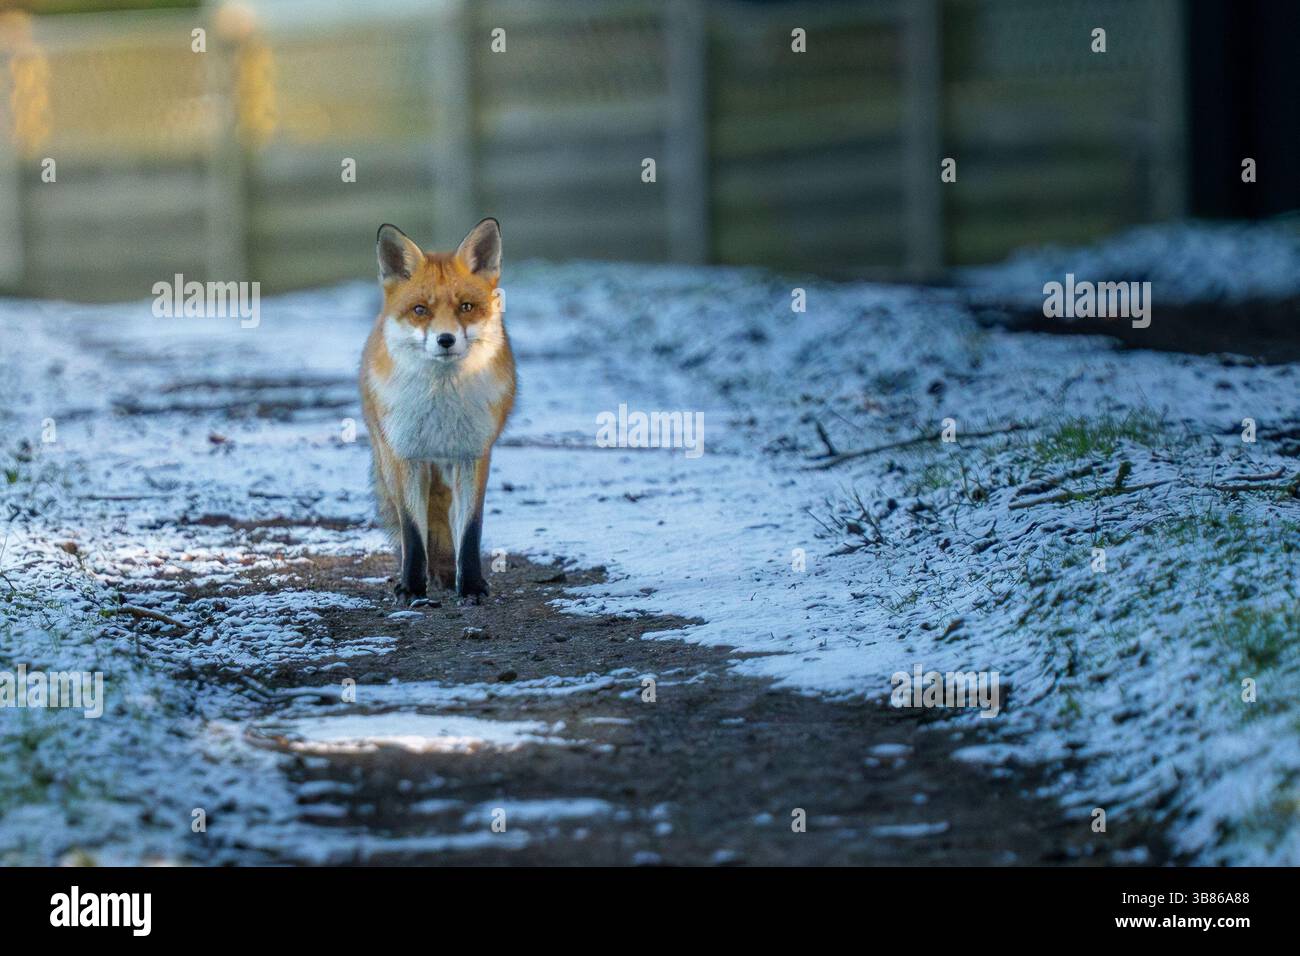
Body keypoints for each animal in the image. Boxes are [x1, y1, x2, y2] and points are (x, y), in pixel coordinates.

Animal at [359, 219, 516, 603]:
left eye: (466, 307)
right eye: (420, 310)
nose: (446, 340)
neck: (442, 407)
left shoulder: (473, 457)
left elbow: (470, 531)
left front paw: (471, 585)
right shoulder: (407, 458)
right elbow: (413, 533)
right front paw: (412, 588)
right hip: (389, 460)